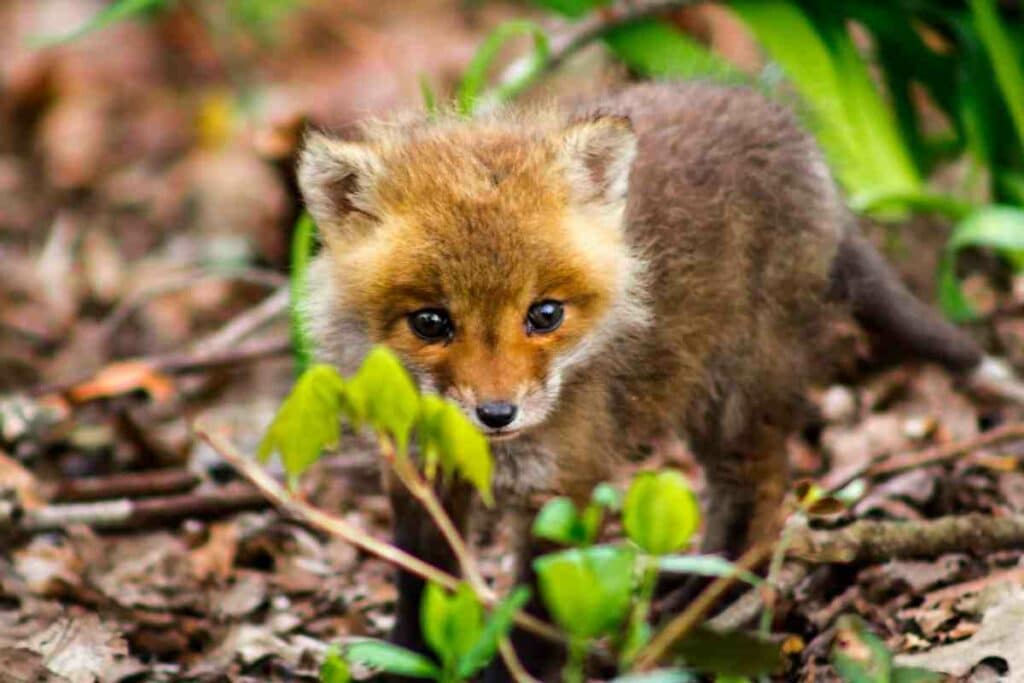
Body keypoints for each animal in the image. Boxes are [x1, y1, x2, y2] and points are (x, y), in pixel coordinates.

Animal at [294, 81, 1015, 679]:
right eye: (431, 322)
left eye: (545, 314)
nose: (497, 414)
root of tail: (785, 127)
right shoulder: (419, 470)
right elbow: (421, 584)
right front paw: (409, 660)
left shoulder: (565, 484)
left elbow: (539, 610)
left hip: (738, 390)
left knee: (761, 495)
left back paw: (716, 599)